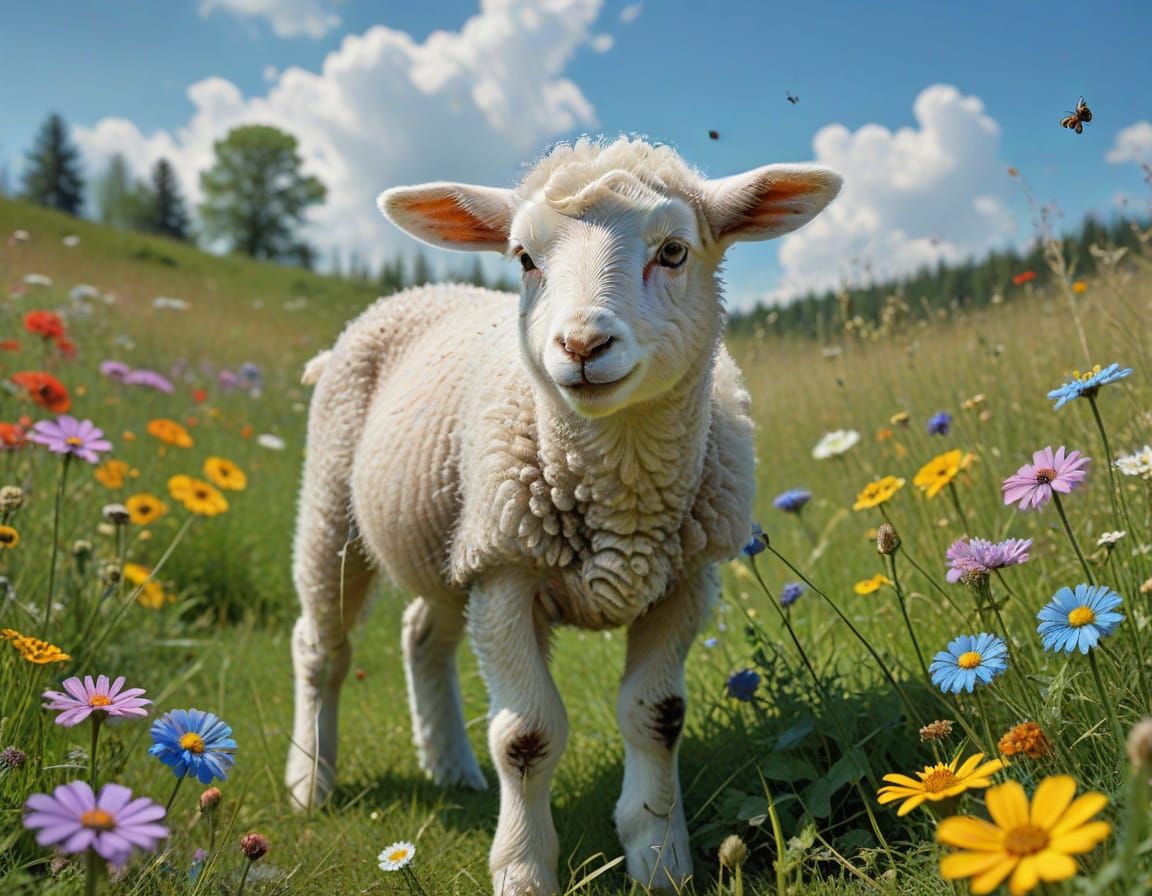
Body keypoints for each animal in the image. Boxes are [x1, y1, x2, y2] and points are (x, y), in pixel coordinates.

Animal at [286, 136, 841, 895]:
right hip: (335, 509)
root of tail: (417, 292)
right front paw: (524, 872)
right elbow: (526, 735)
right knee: (321, 646)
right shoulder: (506, 573)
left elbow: (658, 717)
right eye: (524, 258)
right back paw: (309, 782)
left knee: (423, 635)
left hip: (451, 540)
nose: (581, 347)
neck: (623, 487)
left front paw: (660, 858)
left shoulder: (685, 581)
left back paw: (452, 768)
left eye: (673, 251)